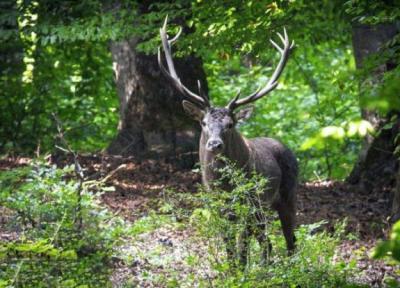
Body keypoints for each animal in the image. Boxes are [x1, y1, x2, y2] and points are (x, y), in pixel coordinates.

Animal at [158, 17, 298, 266]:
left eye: (230, 124)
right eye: (203, 123)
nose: (215, 144)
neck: (223, 183)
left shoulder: (248, 201)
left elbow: (242, 244)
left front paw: (240, 270)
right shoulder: (218, 204)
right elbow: (229, 243)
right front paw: (232, 269)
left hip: (286, 195)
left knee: (290, 240)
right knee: (267, 242)